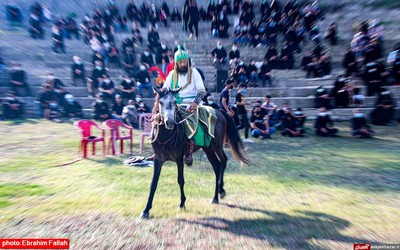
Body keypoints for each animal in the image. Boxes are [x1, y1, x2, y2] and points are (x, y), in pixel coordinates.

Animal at [141, 88, 250, 219]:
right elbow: (154, 183)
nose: (170, 122)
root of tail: (218, 111)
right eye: (161, 102)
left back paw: (221, 190)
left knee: (223, 161)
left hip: (217, 145)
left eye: (174, 102)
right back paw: (215, 197)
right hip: (208, 148)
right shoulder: (158, 159)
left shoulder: (179, 158)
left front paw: (182, 203)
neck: (165, 135)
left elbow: (180, 180)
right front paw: (146, 210)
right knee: (217, 166)